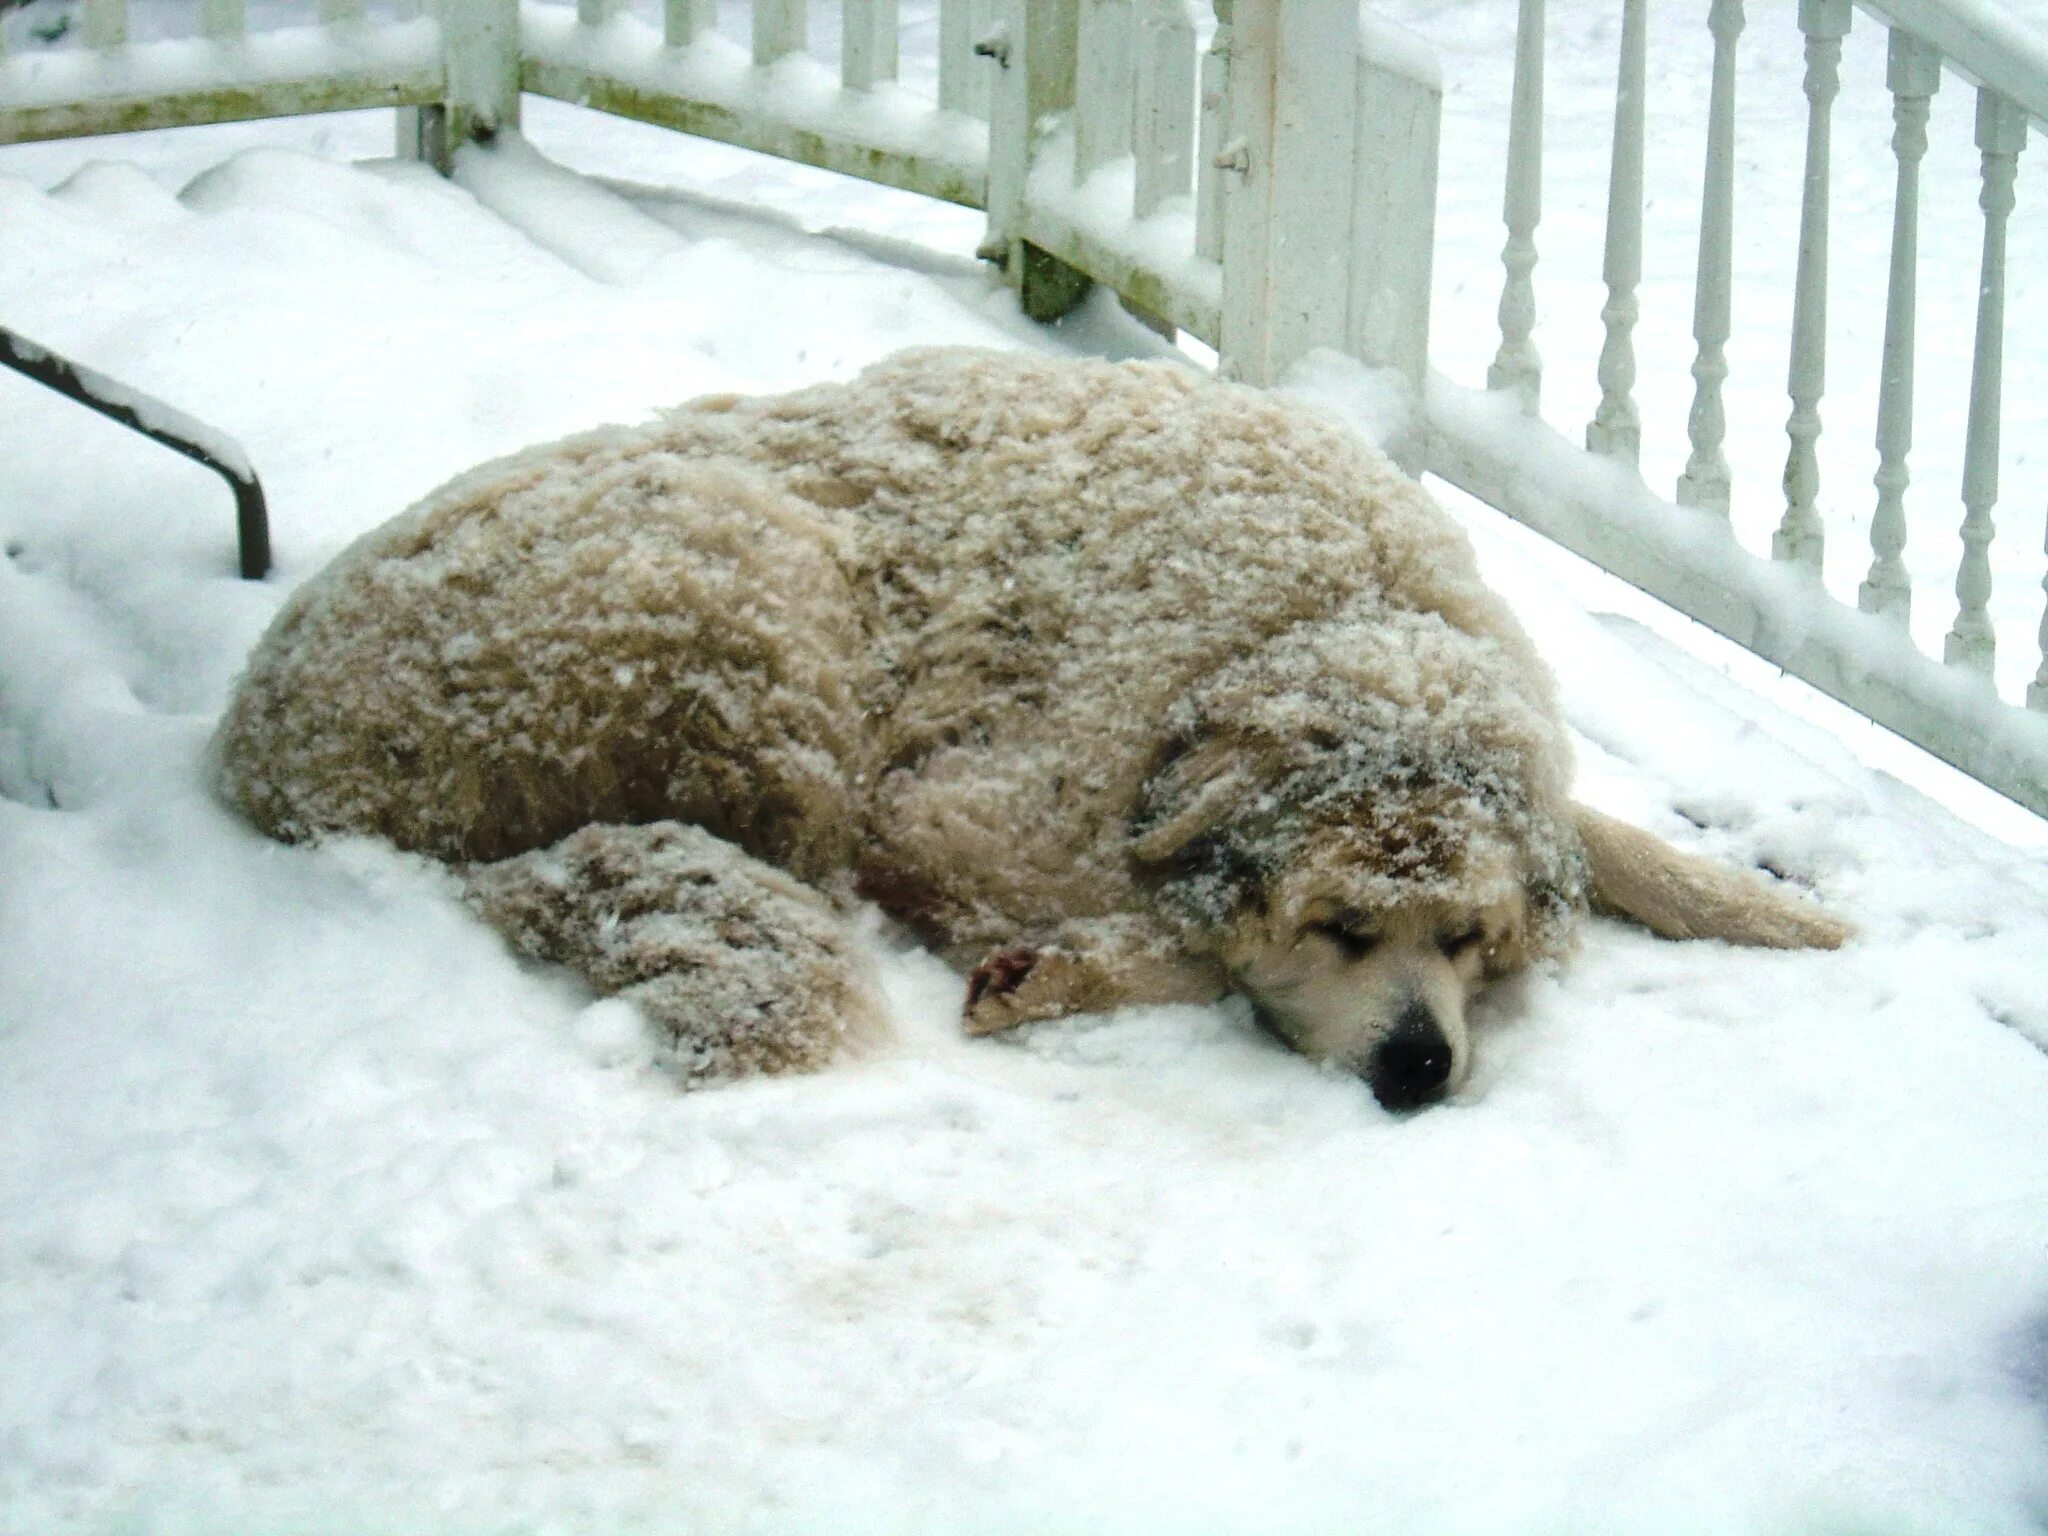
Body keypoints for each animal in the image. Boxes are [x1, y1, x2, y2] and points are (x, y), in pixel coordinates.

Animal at [216, 346, 1851, 1105]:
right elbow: (1194, 949)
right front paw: (1053, 972)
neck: (1294, 630)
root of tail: (257, 737)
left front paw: (1780, 916)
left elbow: (1611, 840)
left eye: (1465, 941)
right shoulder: (955, 818)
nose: (1419, 1068)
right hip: (748, 584)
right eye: (1339, 930)